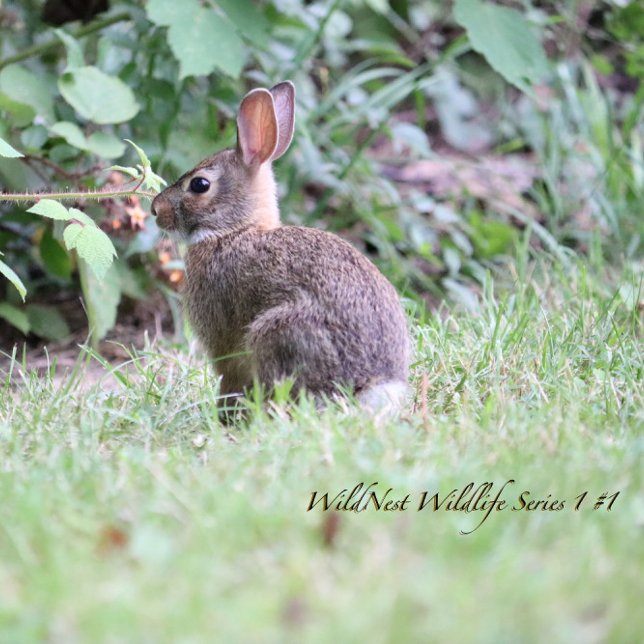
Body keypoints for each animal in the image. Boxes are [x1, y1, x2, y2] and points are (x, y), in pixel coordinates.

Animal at [151, 81, 410, 412]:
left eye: (199, 185)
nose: (155, 208)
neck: (234, 231)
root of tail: (372, 384)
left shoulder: (223, 340)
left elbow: (228, 374)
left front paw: (224, 413)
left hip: (279, 333)